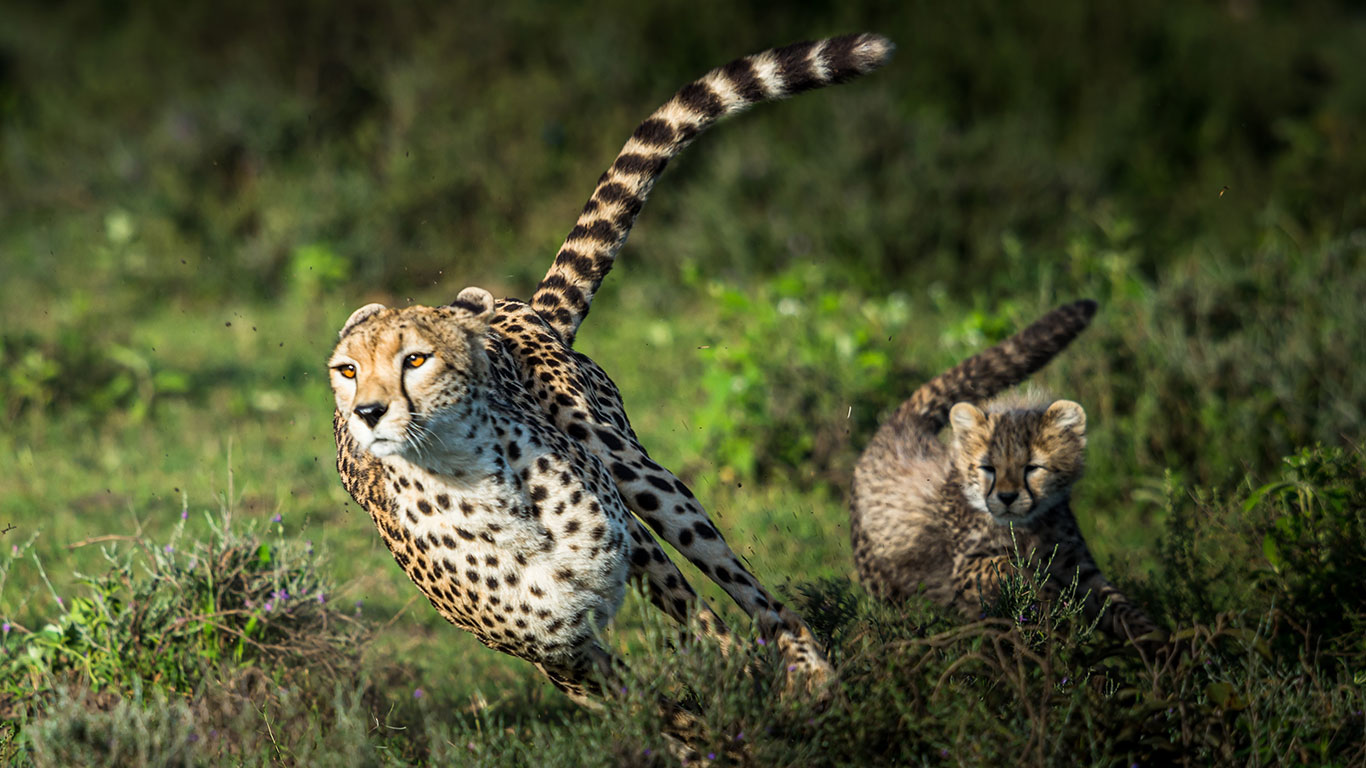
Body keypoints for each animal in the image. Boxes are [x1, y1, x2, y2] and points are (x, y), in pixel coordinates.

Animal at [328, 33, 893, 739]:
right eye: (347, 370)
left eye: (415, 359)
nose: (368, 412)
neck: (476, 488)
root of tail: (517, 306)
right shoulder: (560, 656)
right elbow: (658, 711)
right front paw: (714, 733)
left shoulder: (631, 550)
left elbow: (711, 638)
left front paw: (750, 703)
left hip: (637, 474)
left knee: (748, 591)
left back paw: (809, 672)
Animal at [850, 299, 1163, 645]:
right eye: (987, 468)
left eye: (1032, 467)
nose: (1007, 497)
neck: (1027, 527)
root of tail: (900, 427)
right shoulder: (963, 569)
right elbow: (1006, 565)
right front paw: (1042, 592)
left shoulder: (1077, 567)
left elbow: (1117, 605)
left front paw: (1161, 644)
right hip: (882, 581)